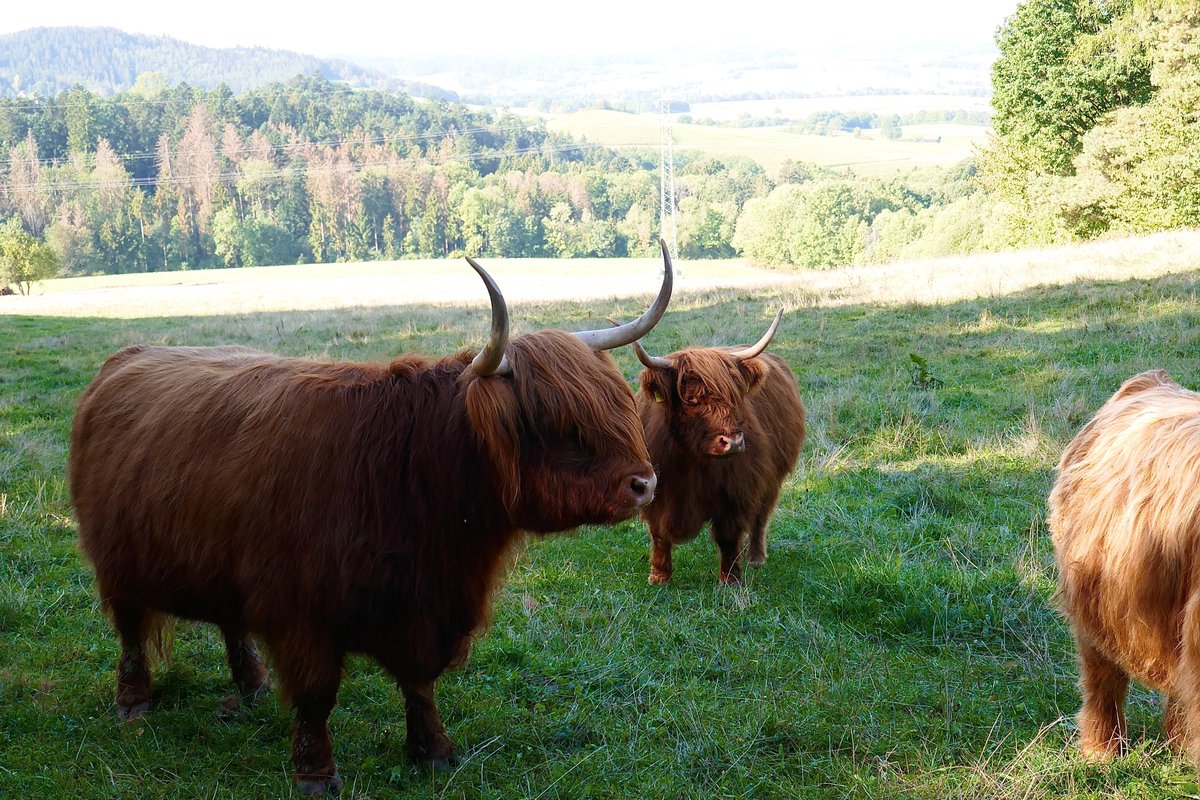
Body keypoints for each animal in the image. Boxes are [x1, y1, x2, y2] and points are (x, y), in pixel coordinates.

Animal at [68, 245, 674, 795]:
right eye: (560, 424)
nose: (646, 483)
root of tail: (124, 359)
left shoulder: (425, 605)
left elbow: (419, 681)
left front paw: (433, 751)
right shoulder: (301, 610)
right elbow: (316, 695)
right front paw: (315, 773)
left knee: (231, 622)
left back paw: (253, 685)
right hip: (117, 562)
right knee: (130, 630)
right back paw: (134, 702)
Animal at [616, 309, 805, 585]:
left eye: (736, 396)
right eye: (691, 398)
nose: (733, 443)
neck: (690, 459)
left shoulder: (738, 490)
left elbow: (728, 536)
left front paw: (730, 579)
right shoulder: (654, 489)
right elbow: (658, 534)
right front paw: (659, 576)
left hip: (772, 477)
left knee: (761, 517)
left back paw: (756, 558)